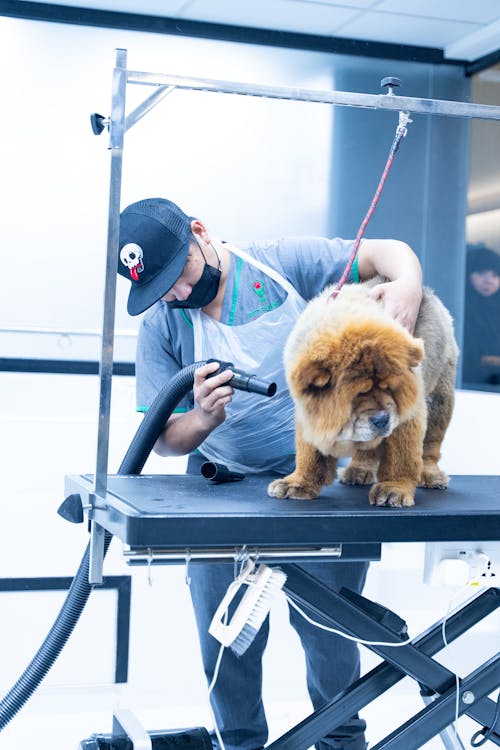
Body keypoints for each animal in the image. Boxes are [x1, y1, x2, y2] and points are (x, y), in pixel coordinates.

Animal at [268, 280, 458, 508]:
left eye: (390, 388)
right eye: (359, 394)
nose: (382, 419)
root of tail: (429, 293)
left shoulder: (408, 413)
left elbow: (402, 456)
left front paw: (394, 489)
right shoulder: (309, 411)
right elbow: (310, 454)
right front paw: (299, 483)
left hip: (439, 397)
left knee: (430, 445)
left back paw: (431, 475)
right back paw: (359, 470)